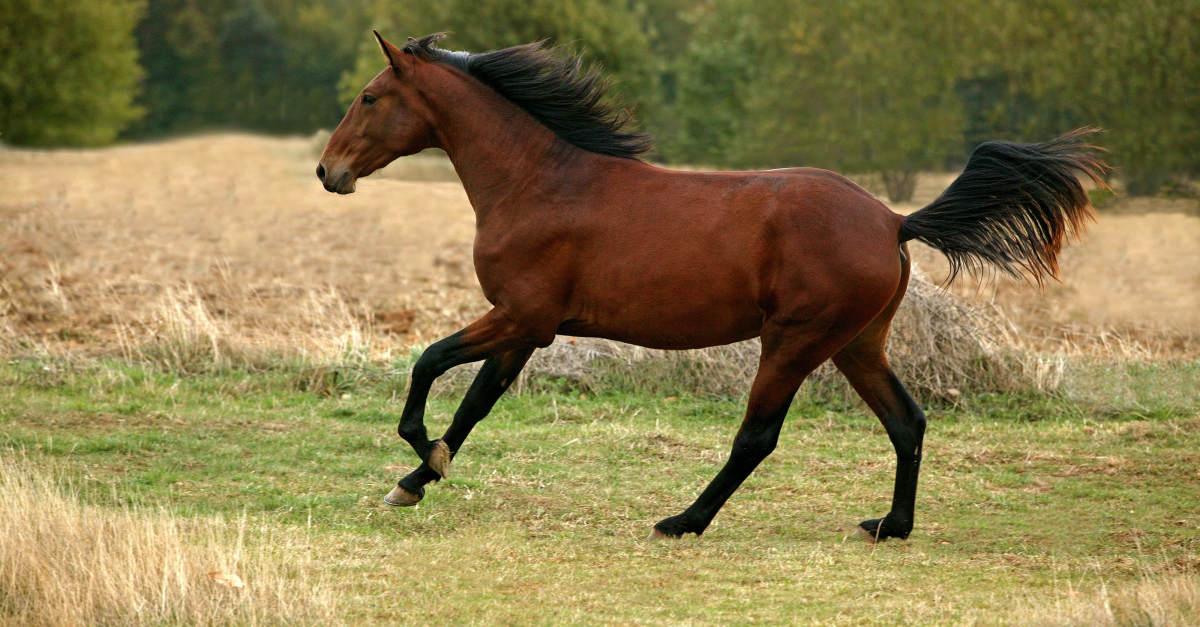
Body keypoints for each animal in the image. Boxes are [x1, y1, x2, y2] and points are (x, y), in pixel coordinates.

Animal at [319, 32, 1104, 535]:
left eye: (369, 96)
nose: (329, 171)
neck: (541, 183)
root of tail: (892, 220)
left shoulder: (519, 317)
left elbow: (429, 365)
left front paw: (420, 458)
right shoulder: (526, 328)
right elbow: (476, 403)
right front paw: (415, 481)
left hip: (794, 342)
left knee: (756, 437)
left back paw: (683, 520)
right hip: (858, 344)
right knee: (907, 421)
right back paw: (890, 525)